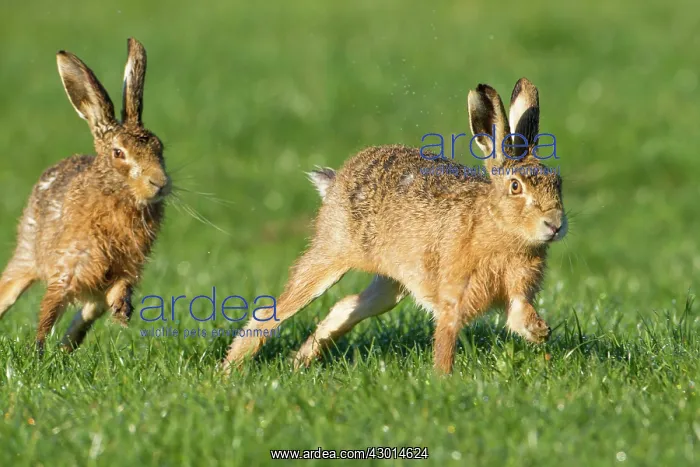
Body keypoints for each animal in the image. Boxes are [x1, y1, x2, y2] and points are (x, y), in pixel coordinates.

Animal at [0, 38, 171, 353]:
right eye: (119, 153)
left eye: (159, 147)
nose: (159, 183)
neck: (115, 195)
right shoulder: (67, 267)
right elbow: (49, 311)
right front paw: (37, 353)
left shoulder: (126, 269)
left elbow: (119, 289)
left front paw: (122, 313)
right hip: (27, 255)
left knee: (84, 317)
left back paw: (66, 349)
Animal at [223, 77, 567, 374]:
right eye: (515, 187)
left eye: (557, 183)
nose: (554, 225)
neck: (499, 229)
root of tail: (336, 181)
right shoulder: (453, 298)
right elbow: (445, 340)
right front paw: (444, 380)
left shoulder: (516, 292)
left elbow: (519, 314)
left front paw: (540, 331)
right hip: (330, 254)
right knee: (274, 310)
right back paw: (229, 370)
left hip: (392, 284)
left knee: (347, 306)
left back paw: (298, 362)